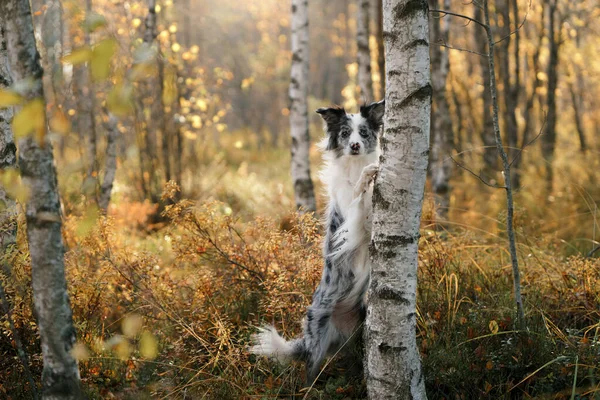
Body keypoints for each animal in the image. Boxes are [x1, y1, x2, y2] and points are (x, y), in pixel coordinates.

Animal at [250, 99, 384, 382]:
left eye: (364, 132)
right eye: (345, 133)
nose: (355, 145)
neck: (354, 165)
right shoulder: (351, 220)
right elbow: (359, 196)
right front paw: (368, 175)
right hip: (317, 340)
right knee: (309, 373)